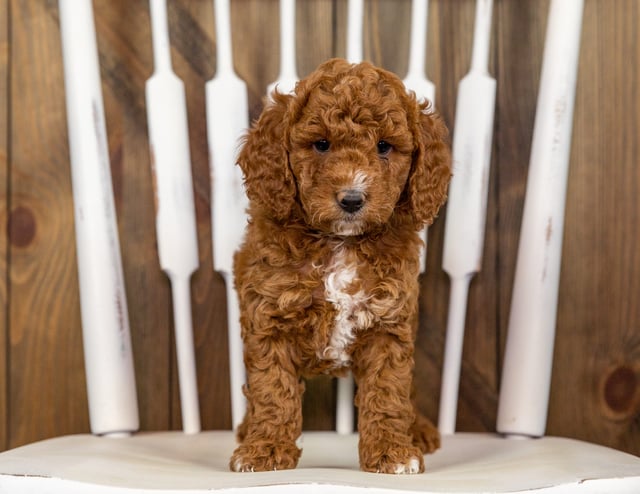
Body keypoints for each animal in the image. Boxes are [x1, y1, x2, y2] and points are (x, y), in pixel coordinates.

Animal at [230, 58, 450, 474]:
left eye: (384, 147)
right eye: (321, 144)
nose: (351, 199)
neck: (341, 243)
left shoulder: (388, 323)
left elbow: (388, 392)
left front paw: (393, 451)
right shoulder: (269, 318)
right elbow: (273, 391)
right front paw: (264, 449)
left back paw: (419, 431)